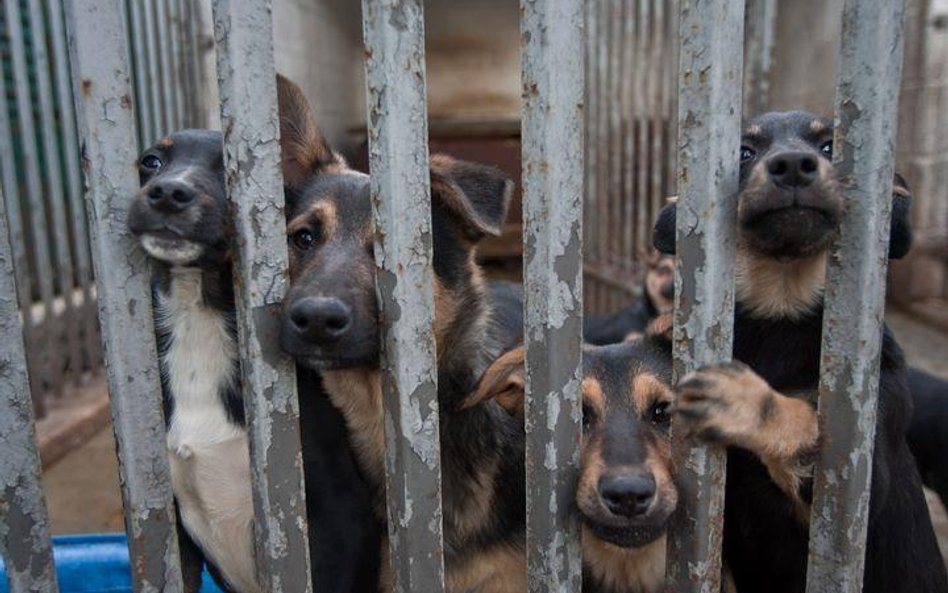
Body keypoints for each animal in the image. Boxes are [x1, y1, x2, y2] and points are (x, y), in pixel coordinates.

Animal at [652, 111, 948, 592]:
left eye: (830, 146)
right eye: (744, 151)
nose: (792, 164)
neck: (782, 308)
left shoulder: (851, 487)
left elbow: (805, 419)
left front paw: (741, 400)